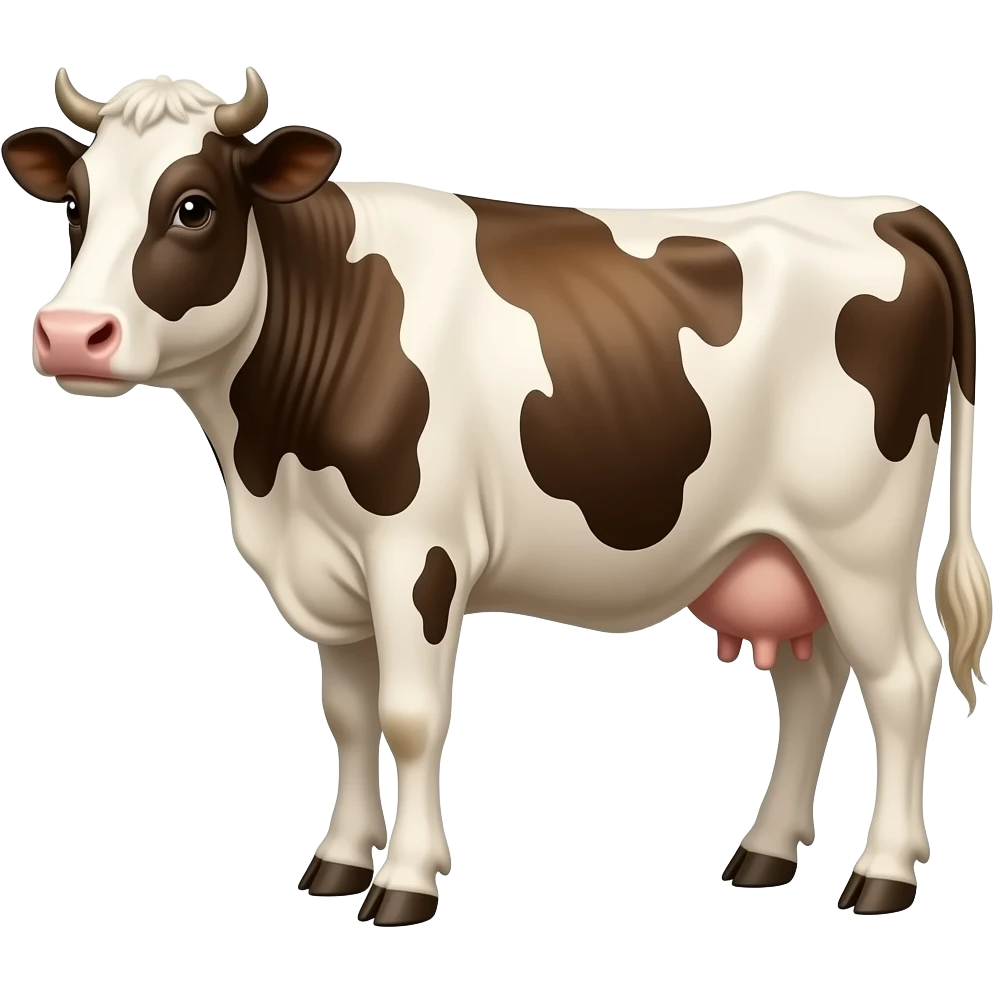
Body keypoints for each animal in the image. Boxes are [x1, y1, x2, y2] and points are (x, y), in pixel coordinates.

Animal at [2, 68, 989, 926]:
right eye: (76, 205)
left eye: (193, 206)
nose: (70, 333)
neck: (270, 466)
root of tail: (884, 208)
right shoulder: (330, 568)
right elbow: (348, 717)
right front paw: (337, 862)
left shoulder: (417, 552)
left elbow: (408, 717)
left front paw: (404, 882)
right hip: (777, 548)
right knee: (812, 683)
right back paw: (763, 852)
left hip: (857, 539)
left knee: (903, 677)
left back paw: (882, 874)